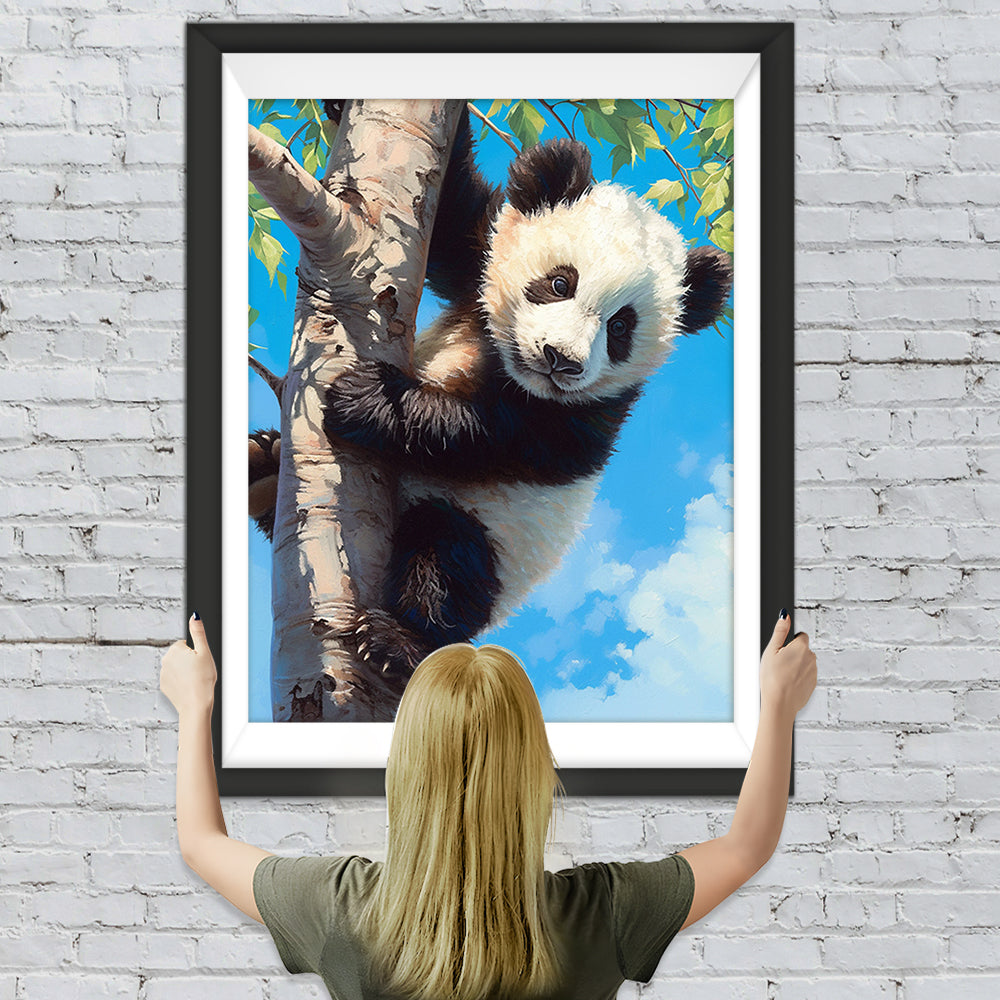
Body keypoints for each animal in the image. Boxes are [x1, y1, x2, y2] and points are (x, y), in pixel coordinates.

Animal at [250, 105, 733, 678]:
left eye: (621, 327)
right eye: (560, 283)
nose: (560, 360)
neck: (504, 361)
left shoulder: (591, 414)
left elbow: (495, 439)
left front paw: (369, 399)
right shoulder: (478, 260)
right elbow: (451, 217)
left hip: (497, 545)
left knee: (445, 556)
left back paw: (398, 641)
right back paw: (263, 464)